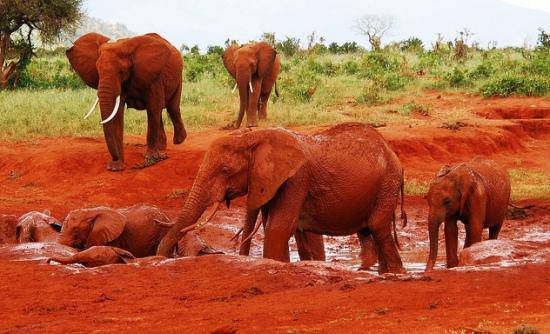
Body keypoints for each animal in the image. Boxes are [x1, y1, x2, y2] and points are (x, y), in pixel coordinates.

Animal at [66, 32, 188, 171]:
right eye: (97, 71)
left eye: (121, 71)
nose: (114, 159)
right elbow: (117, 114)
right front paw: (116, 167)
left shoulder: (153, 77)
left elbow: (153, 108)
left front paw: (150, 158)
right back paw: (162, 147)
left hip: (178, 77)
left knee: (171, 107)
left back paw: (178, 141)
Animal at [157, 122, 408, 274]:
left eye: (226, 171)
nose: (161, 258)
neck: (255, 136)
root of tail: (391, 151)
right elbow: (290, 229)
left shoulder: (296, 178)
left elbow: (279, 227)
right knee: (367, 230)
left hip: (388, 182)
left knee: (377, 226)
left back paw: (396, 273)